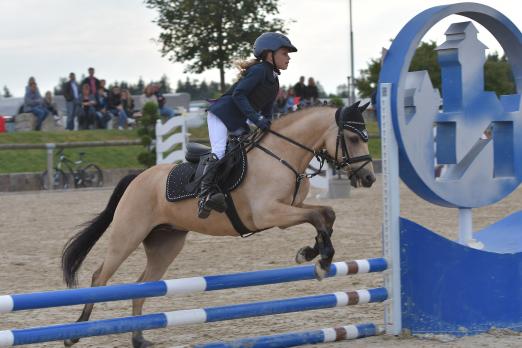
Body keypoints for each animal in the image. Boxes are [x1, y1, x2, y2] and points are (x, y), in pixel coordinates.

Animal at [60, 102, 374, 346]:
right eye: (351, 137)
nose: (369, 178)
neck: (283, 155)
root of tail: (138, 177)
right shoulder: (269, 213)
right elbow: (318, 217)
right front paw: (321, 260)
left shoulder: (288, 211)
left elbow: (326, 214)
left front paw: (312, 253)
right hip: (128, 234)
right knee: (99, 278)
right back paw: (75, 333)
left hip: (165, 244)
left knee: (142, 286)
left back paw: (138, 338)